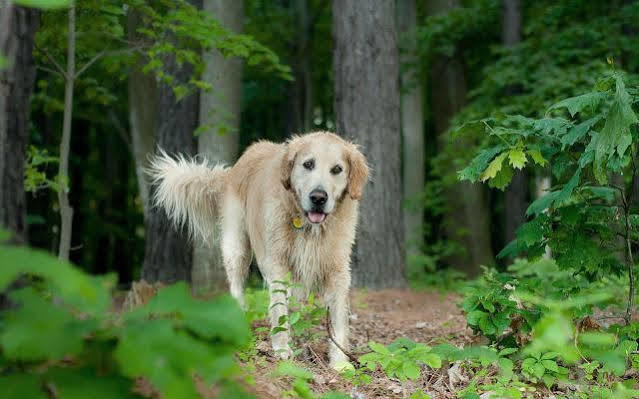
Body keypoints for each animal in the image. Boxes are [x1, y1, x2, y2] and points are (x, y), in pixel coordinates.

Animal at [148, 132, 370, 368]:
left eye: (337, 169)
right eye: (308, 164)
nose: (318, 197)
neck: (310, 227)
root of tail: (234, 167)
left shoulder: (338, 269)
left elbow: (338, 318)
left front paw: (340, 362)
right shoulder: (277, 262)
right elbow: (279, 308)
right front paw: (282, 349)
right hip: (237, 248)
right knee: (236, 287)